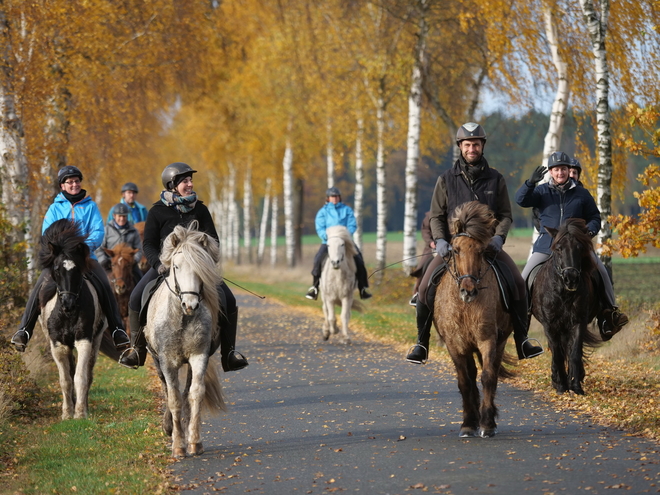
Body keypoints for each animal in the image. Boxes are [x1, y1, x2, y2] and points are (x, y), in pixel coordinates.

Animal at [39, 220, 116, 418]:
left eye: (78, 270)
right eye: (57, 269)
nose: (68, 303)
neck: (67, 314)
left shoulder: (84, 340)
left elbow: (80, 377)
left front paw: (80, 413)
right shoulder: (58, 344)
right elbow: (65, 379)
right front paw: (67, 413)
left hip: (96, 339)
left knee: (88, 372)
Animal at [144, 223, 227, 460]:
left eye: (201, 267)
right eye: (176, 266)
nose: (190, 304)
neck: (182, 317)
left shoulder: (199, 356)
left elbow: (195, 394)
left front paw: (194, 442)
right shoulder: (167, 360)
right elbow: (173, 398)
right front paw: (178, 445)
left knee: (187, 390)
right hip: (156, 359)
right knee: (166, 388)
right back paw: (168, 426)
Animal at [434, 202, 516, 438]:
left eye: (481, 251)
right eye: (455, 250)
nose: (468, 290)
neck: (465, 307)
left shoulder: (487, 339)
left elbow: (487, 377)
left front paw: (487, 424)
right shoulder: (455, 344)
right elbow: (464, 381)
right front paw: (468, 423)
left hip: (499, 342)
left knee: (492, 372)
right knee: (470, 375)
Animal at [532, 219, 604, 398]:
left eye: (580, 248)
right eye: (558, 248)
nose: (571, 279)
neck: (563, 292)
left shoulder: (578, 322)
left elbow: (574, 353)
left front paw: (576, 386)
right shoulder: (550, 325)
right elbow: (557, 354)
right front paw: (561, 386)